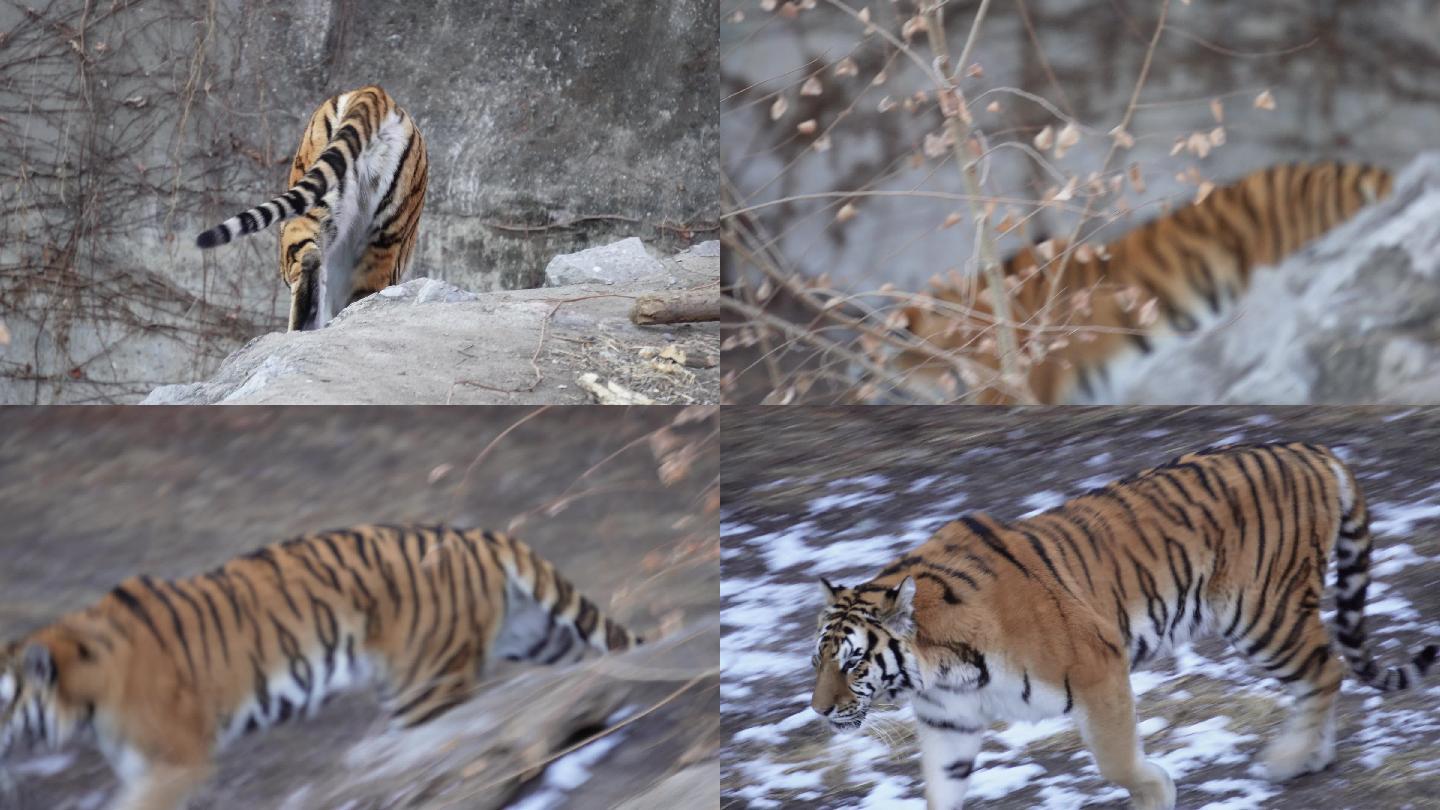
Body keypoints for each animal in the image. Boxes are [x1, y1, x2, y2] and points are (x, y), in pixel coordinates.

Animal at [0, 524, 642, 807]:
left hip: (426, 687)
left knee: (461, 749)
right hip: (539, 636)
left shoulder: (173, 762)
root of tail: (475, 535)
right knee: (598, 668)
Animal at [812, 441, 1440, 807]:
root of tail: (1312, 449)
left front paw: (1157, 792)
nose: (817, 712)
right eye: (818, 661)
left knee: (1327, 669)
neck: (939, 669)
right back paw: (1312, 756)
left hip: (1261, 612)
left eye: (854, 662)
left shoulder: (1099, 670)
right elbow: (941, 790)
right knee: (1323, 673)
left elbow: (1116, 761)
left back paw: (1288, 759)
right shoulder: (950, 722)